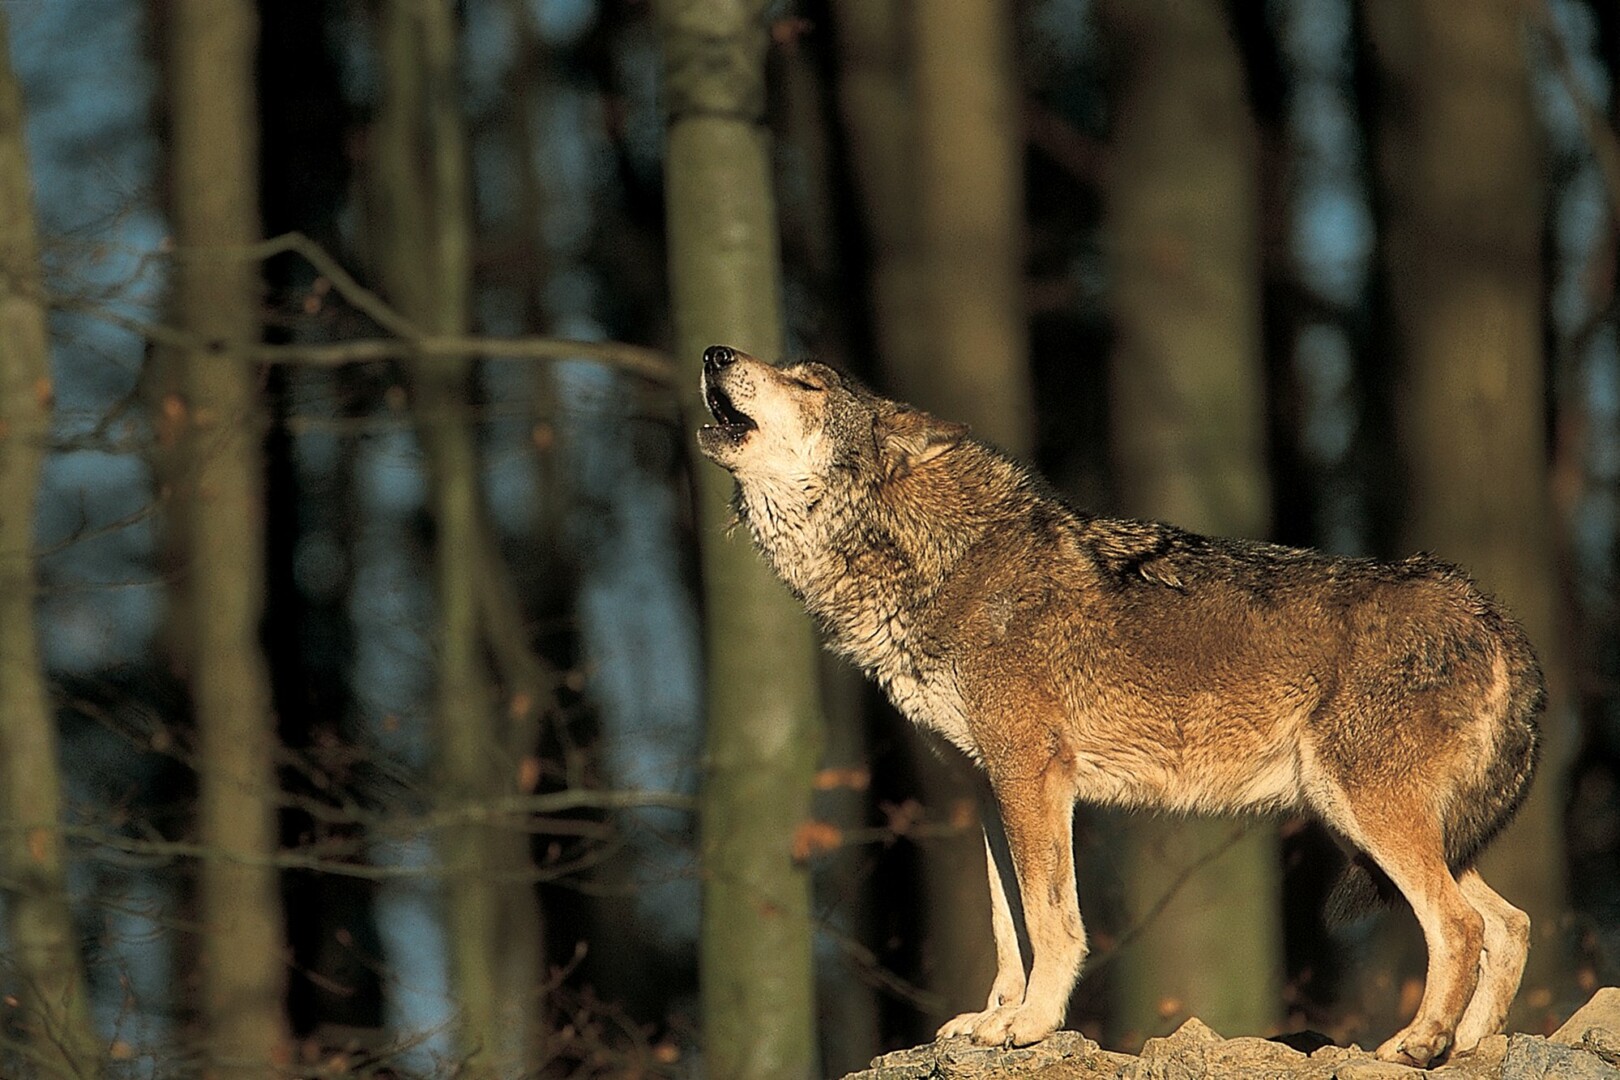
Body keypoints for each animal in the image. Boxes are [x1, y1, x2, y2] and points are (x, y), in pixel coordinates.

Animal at [693, 344, 1542, 1062]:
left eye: (808, 383)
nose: (715, 353)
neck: (934, 563)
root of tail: (1489, 612)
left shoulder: (1033, 774)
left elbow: (1050, 920)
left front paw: (1033, 1024)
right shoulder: (990, 787)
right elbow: (1007, 922)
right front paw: (996, 1016)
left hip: (1363, 812)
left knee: (1461, 924)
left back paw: (1418, 1044)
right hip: (1369, 824)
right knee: (1510, 922)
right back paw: (1470, 1047)